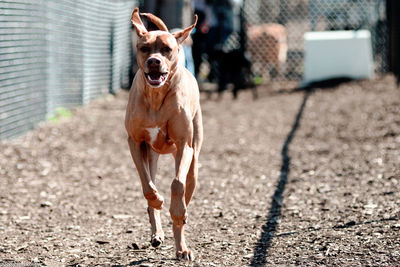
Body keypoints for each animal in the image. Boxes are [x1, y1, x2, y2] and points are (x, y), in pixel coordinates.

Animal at [124, 7, 202, 262]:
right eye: (144, 48)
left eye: (167, 49)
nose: (154, 61)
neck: (156, 98)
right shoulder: (135, 142)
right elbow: (147, 186)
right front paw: (157, 199)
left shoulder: (184, 145)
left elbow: (177, 184)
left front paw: (177, 212)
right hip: (152, 155)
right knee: (151, 187)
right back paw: (157, 232)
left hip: (194, 165)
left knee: (185, 187)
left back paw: (181, 247)